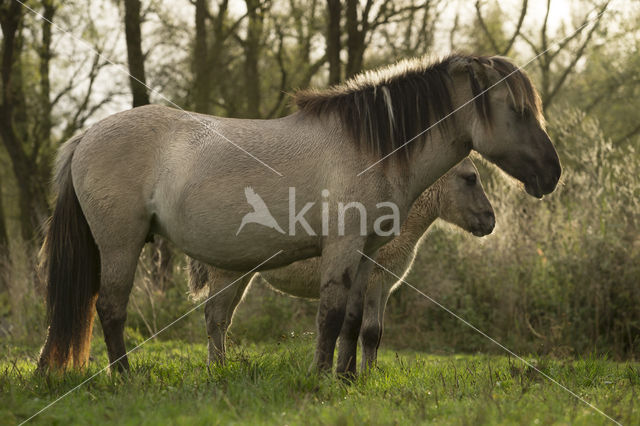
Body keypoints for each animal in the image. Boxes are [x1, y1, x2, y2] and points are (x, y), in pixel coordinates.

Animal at [37, 54, 556, 376]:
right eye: (516, 110)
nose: (552, 173)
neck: (370, 148)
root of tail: (86, 136)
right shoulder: (343, 249)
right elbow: (330, 316)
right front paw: (322, 377)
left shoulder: (366, 257)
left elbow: (353, 322)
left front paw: (349, 379)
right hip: (120, 244)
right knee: (110, 309)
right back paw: (124, 376)